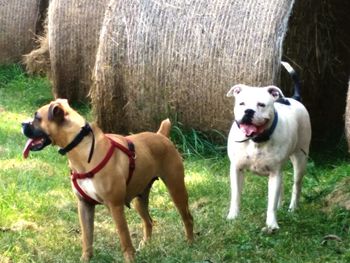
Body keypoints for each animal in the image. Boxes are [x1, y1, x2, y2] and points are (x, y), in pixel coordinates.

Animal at [21, 98, 194, 262]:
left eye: (37, 117)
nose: (22, 123)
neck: (82, 148)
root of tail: (160, 135)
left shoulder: (115, 206)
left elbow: (124, 237)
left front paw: (129, 259)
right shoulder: (85, 205)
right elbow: (87, 237)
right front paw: (86, 258)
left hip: (176, 189)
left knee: (187, 218)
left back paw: (190, 243)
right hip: (140, 199)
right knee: (149, 221)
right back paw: (146, 245)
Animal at [227, 69, 312, 231]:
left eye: (261, 104)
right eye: (241, 103)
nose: (248, 111)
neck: (256, 140)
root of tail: (294, 98)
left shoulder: (274, 173)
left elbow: (270, 203)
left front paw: (272, 224)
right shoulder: (236, 169)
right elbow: (235, 196)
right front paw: (233, 217)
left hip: (300, 158)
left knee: (296, 185)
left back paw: (293, 208)